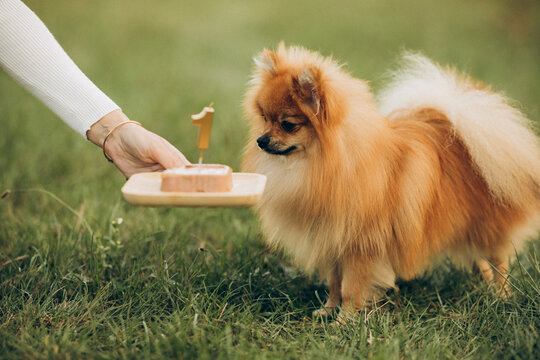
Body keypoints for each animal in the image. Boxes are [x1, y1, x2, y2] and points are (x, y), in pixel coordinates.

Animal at [242, 43, 540, 316]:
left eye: (288, 124)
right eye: (264, 118)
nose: (261, 140)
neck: (323, 165)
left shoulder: (361, 246)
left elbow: (351, 288)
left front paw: (344, 321)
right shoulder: (333, 241)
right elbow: (335, 283)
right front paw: (327, 310)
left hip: (487, 227)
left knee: (499, 262)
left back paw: (501, 295)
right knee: (478, 258)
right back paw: (485, 284)